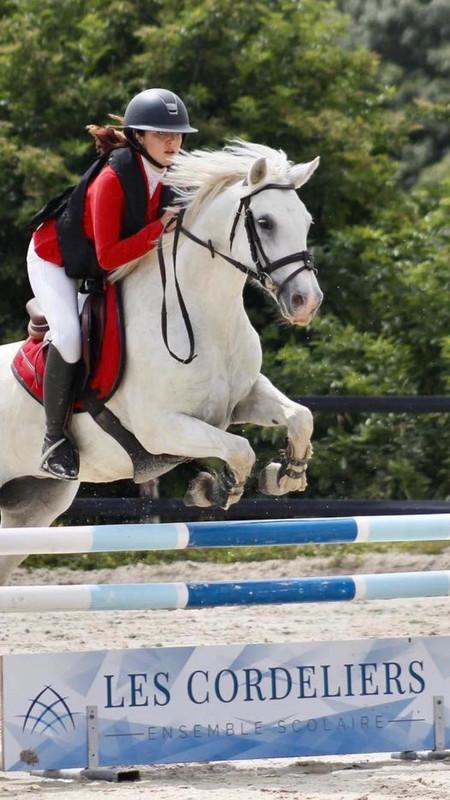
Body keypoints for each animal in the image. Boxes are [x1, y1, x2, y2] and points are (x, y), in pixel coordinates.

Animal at [0, 140, 323, 584]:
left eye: (306, 222)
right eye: (266, 221)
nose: (307, 302)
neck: (207, 315)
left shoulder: (241, 400)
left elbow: (300, 416)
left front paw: (286, 475)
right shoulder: (163, 428)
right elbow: (240, 449)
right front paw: (217, 488)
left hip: (34, 507)